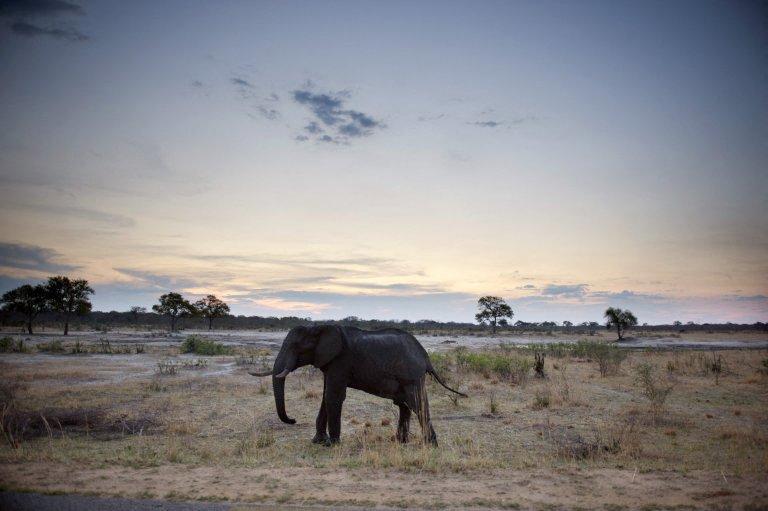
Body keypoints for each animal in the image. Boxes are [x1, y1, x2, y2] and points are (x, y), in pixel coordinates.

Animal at [250, 324, 466, 446]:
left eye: (296, 347)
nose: (293, 420)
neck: (319, 327)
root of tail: (426, 356)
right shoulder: (330, 363)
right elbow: (326, 396)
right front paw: (318, 442)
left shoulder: (341, 361)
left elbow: (333, 396)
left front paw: (332, 445)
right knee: (404, 406)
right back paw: (400, 442)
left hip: (411, 376)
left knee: (417, 404)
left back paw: (430, 445)